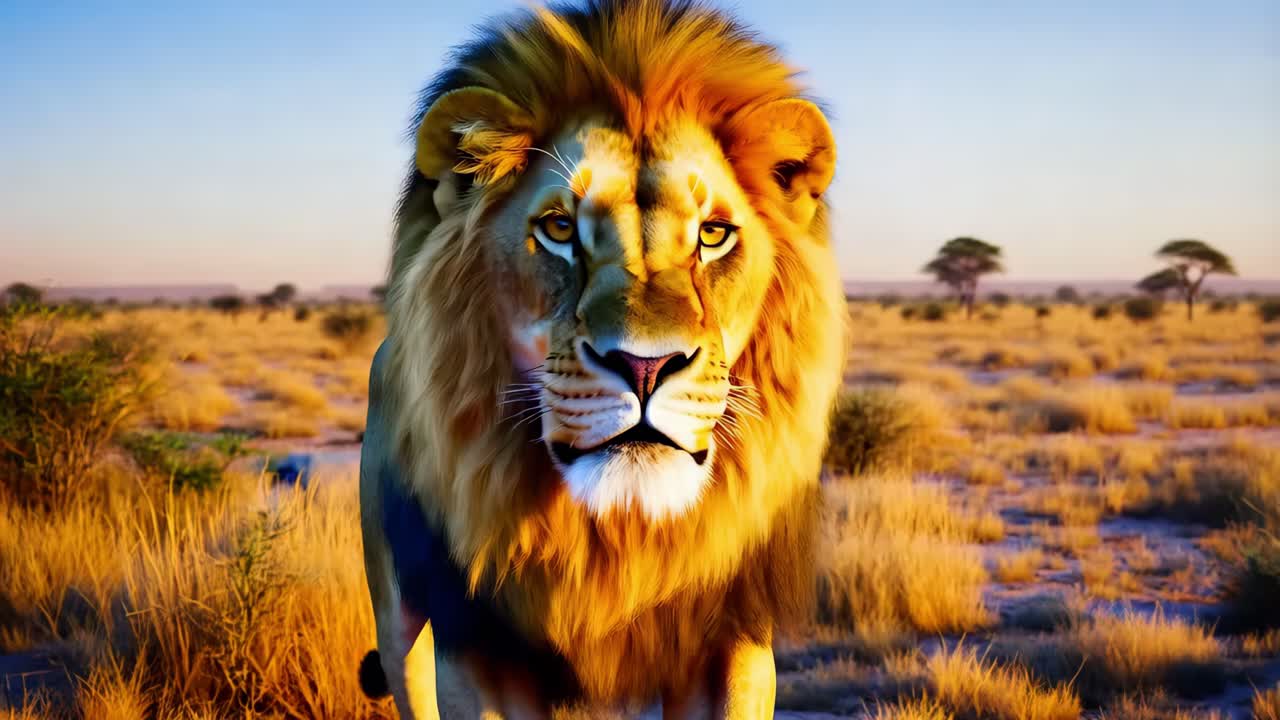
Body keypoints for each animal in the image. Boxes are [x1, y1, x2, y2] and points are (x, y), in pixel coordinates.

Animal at [358, 0, 845, 717]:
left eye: (712, 234)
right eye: (560, 230)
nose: (645, 368)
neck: (616, 540)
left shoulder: (730, 634)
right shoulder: (476, 645)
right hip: (399, 620)